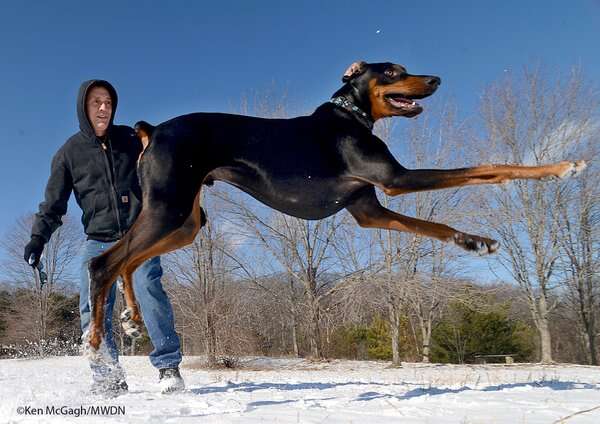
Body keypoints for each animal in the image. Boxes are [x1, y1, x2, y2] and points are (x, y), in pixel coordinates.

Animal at [86, 60, 584, 352]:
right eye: (392, 71)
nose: (436, 79)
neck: (353, 116)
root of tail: (153, 130)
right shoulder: (396, 180)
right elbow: (490, 167)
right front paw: (563, 166)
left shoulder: (371, 211)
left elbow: (433, 227)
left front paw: (474, 242)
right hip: (168, 211)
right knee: (104, 263)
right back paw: (95, 336)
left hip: (185, 221)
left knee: (128, 262)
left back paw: (132, 321)